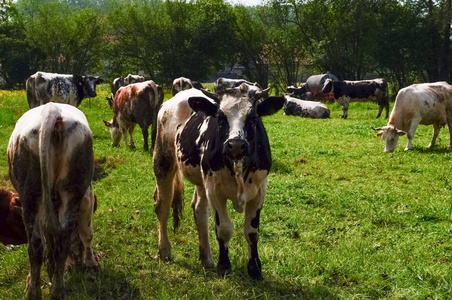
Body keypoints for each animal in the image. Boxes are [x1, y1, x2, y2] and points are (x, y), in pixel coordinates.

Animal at [8, 102, 98, 298]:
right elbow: (85, 232)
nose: (76, 264)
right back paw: (56, 290)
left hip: (32, 194)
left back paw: (36, 291)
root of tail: (52, 111)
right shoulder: (85, 196)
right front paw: (90, 261)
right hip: (68, 191)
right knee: (58, 240)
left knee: (37, 244)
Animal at [154, 85, 284, 282]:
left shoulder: (260, 190)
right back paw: (165, 250)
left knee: (199, 210)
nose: (236, 145)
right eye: (221, 118)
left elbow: (251, 231)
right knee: (162, 206)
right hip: (163, 161)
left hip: (201, 180)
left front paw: (255, 269)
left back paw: (206, 257)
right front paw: (224, 267)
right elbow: (224, 229)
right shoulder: (215, 190)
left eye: (253, 118)